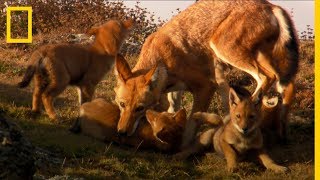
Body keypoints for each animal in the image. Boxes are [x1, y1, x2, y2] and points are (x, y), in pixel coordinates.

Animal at [114, 0, 298, 146]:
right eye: (122, 104)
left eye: (140, 108)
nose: (121, 132)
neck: (162, 57)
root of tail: (272, 6)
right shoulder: (177, 90)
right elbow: (173, 109)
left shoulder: (206, 86)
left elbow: (190, 125)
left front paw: (181, 151)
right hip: (257, 61)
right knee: (287, 86)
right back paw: (282, 134)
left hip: (225, 49)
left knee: (266, 77)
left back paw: (247, 107)